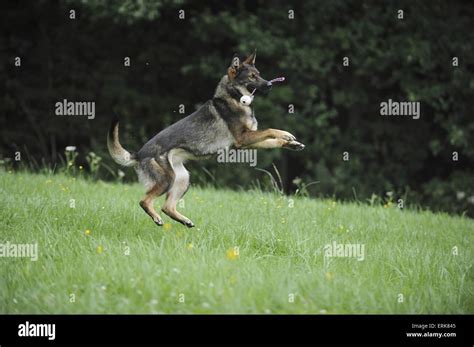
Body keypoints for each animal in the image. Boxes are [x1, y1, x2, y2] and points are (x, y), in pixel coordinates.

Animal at [108, 52, 304, 228]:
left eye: (259, 74)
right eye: (252, 76)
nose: (270, 84)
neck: (234, 97)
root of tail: (139, 154)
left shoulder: (246, 143)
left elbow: (273, 141)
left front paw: (292, 143)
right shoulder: (243, 138)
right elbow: (271, 130)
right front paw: (286, 134)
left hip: (182, 179)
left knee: (167, 206)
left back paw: (185, 221)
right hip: (167, 179)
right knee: (145, 201)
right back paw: (157, 218)